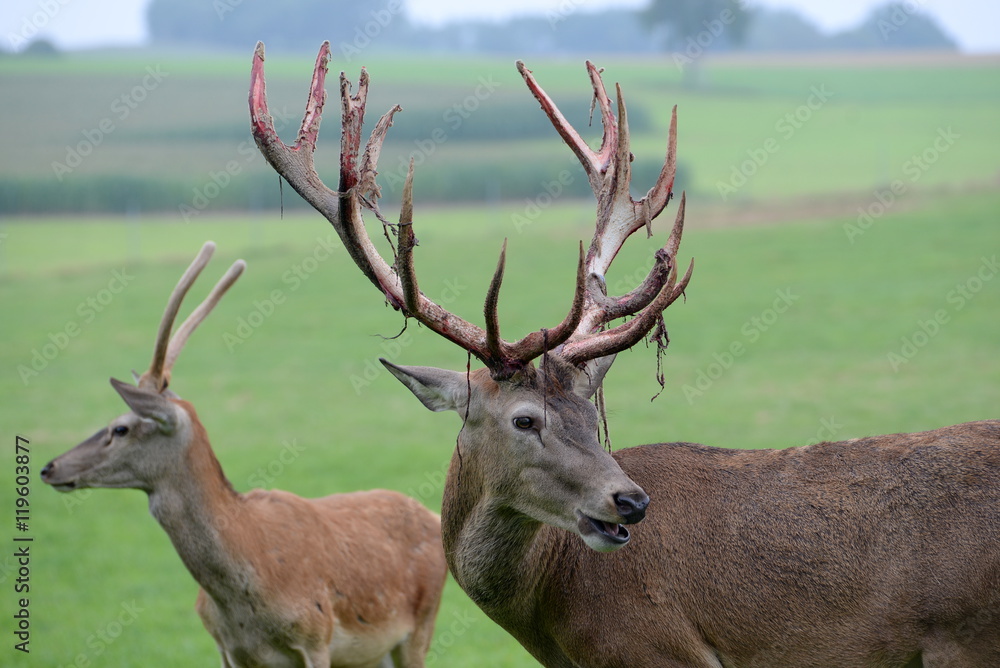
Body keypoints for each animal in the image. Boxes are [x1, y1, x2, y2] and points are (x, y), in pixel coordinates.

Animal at [41, 242, 448, 668]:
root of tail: (431, 514)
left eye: (120, 428)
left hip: (420, 624)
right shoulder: (226, 647)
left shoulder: (317, 636)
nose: (49, 468)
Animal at [249, 41, 1000, 668]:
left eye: (592, 417)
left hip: (964, 636)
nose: (631, 501)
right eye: (526, 419)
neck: (557, 622)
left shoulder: (656, 649)